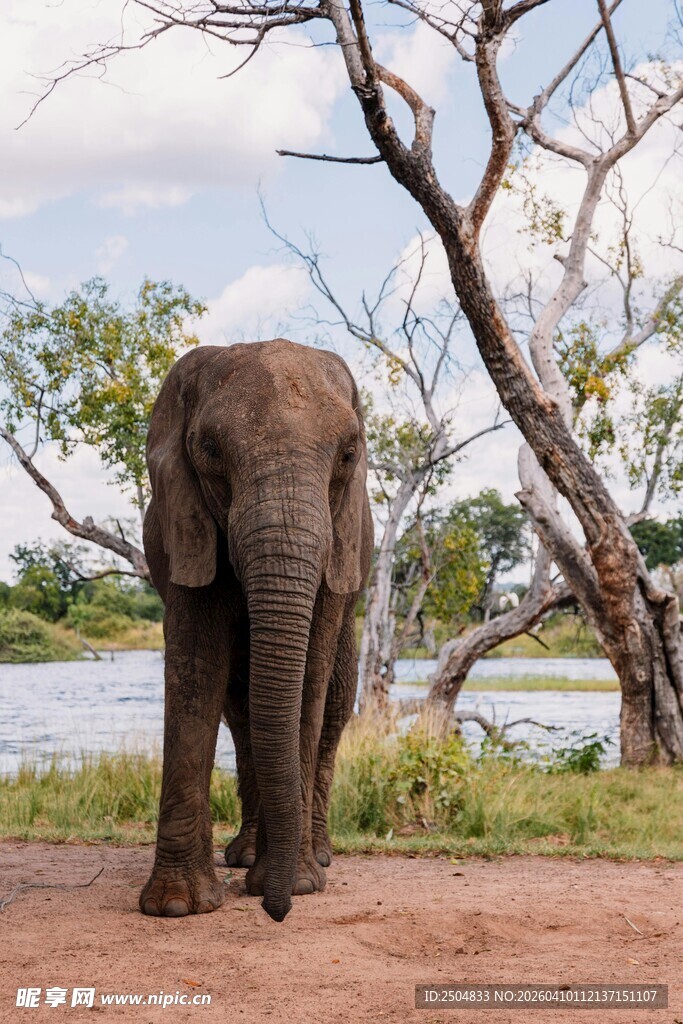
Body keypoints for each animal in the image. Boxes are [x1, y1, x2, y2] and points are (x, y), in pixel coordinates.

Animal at [139, 339, 373, 923]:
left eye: (349, 455)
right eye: (210, 451)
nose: (276, 912)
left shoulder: (339, 546)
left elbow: (310, 680)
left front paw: (301, 884)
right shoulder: (188, 525)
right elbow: (197, 671)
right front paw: (177, 906)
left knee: (336, 704)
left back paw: (316, 855)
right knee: (240, 713)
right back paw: (243, 858)